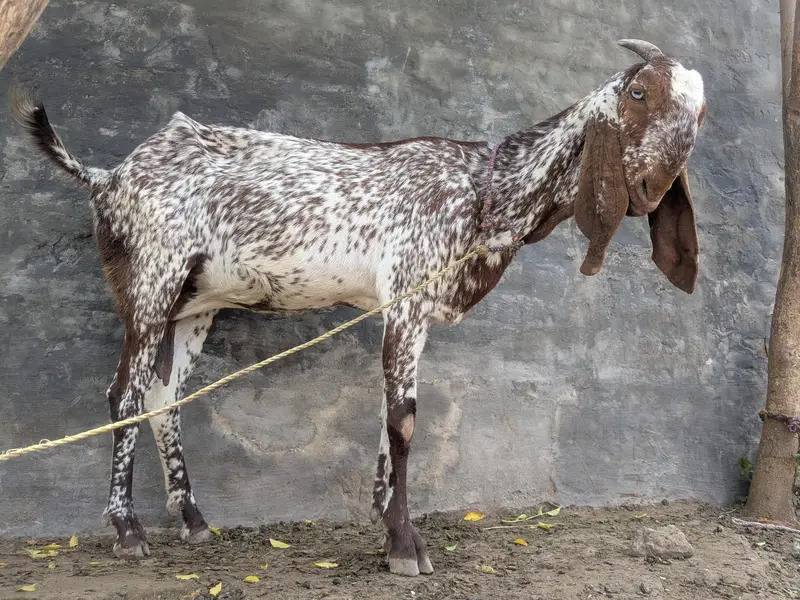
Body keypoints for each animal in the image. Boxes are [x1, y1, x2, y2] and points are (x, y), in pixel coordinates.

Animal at [10, 39, 706, 577]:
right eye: (639, 93)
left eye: (699, 114)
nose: (652, 188)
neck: (486, 188)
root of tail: (107, 177)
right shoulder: (407, 295)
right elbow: (403, 420)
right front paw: (404, 546)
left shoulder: (409, 310)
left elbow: (391, 415)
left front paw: (384, 518)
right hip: (151, 280)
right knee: (123, 394)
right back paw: (128, 530)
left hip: (194, 300)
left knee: (163, 397)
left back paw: (193, 518)